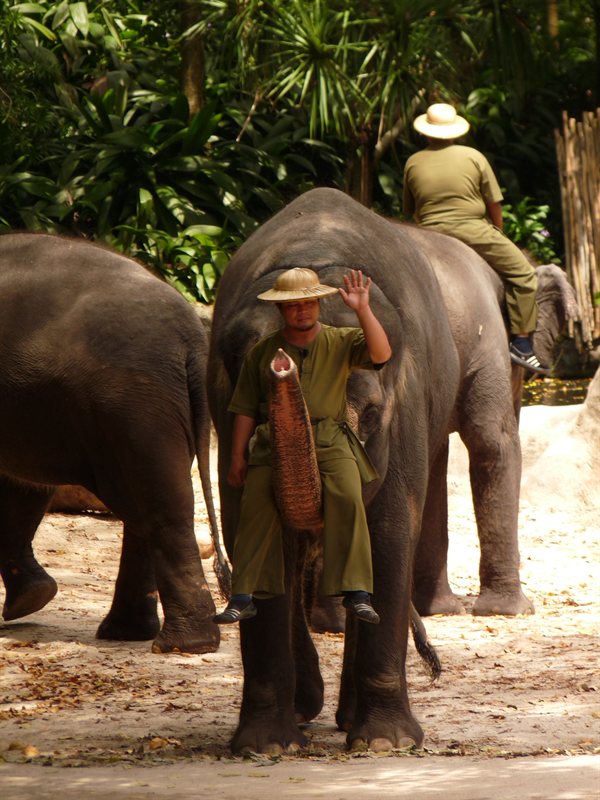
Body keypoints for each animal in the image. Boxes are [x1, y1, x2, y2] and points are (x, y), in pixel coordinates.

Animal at [0, 232, 228, 654]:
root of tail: (191, 340)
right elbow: (23, 489)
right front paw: (32, 600)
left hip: (130, 405)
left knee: (157, 511)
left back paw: (180, 645)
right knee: (147, 508)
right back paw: (129, 633)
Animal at [207, 186, 574, 753]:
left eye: (373, 415)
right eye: (257, 415)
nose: (436, 665)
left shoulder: (414, 391)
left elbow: (395, 523)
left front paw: (386, 744)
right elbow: (257, 535)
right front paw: (267, 746)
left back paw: (346, 716)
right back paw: (311, 711)